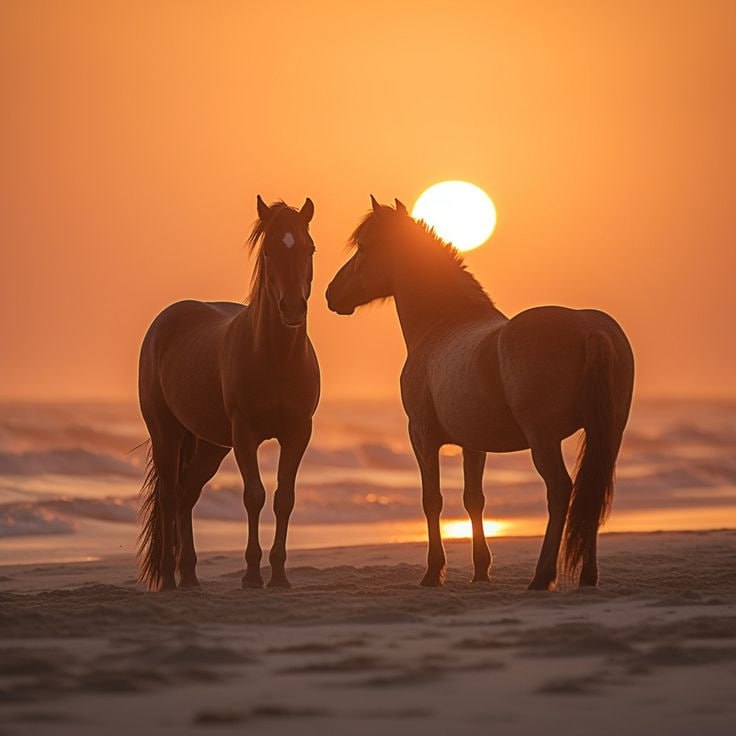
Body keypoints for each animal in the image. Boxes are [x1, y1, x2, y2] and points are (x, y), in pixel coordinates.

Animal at [137, 197, 320, 592]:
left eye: (309, 248)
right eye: (268, 250)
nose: (292, 309)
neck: (275, 358)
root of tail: (163, 322)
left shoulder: (298, 433)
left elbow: (284, 498)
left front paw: (279, 576)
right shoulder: (245, 434)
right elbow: (254, 496)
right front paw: (251, 575)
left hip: (210, 446)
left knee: (187, 496)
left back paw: (190, 575)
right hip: (166, 434)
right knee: (170, 496)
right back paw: (169, 578)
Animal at [324, 197, 636, 592]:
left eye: (364, 247)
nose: (331, 293)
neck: (443, 323)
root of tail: (588, 328)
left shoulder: (421, 436)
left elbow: (432, 500)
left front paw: (433, 573)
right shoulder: (474, 444)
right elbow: (474, 500)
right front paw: (480, 570)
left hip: (544, 439)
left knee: (560, 490)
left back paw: (542, 576)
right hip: (607, 434)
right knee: (592, 491)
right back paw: (587, 576)